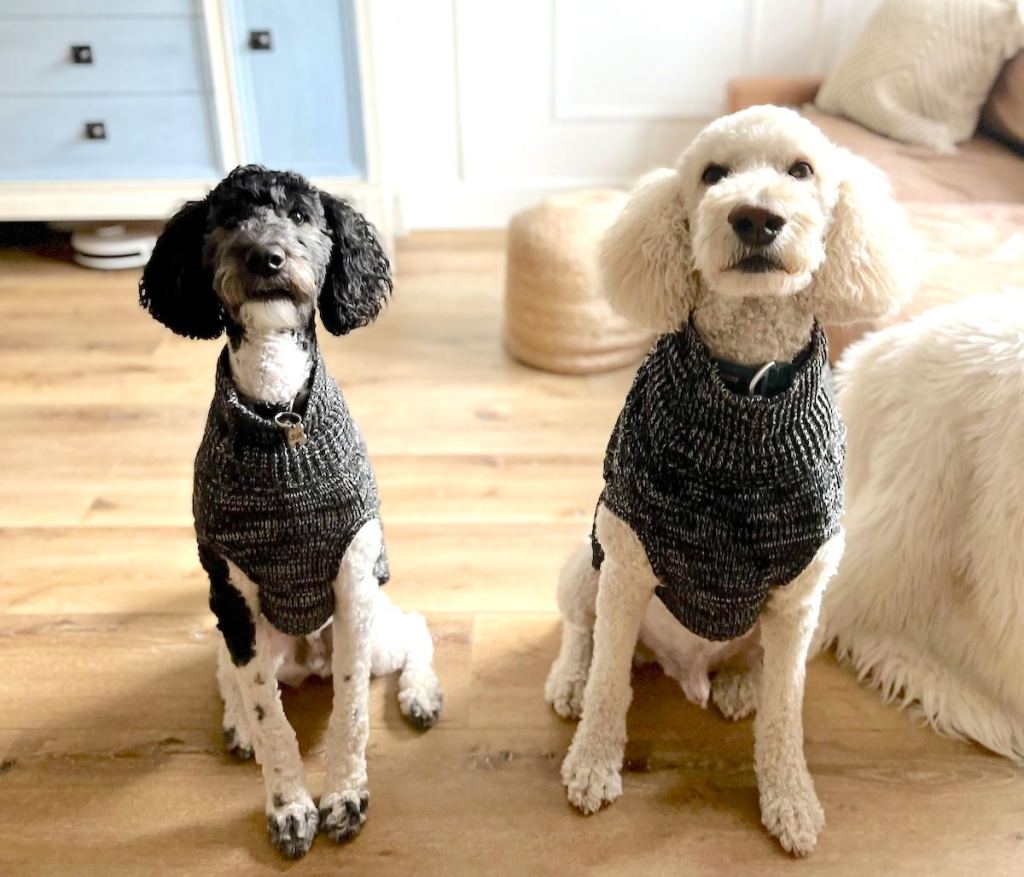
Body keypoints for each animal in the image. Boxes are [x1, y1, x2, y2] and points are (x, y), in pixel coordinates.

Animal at [139, 163, 440, 856]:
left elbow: (351, 708)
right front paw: (288, 806)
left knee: (415, 627)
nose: (265, 256)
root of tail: (306, 657)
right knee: (226, 672)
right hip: (256, 638)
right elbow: (266, 712)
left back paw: (419, 695)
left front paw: (346, 796)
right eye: (225, 219)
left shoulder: (354, 579)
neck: (279, 414)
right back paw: (236, 726)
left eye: (302, 216)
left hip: (377, 630)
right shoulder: (231, 594)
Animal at [548, 104, 917, 856]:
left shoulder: (801, 591)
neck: (744, 389)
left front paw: (791, 799)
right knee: (582, 631)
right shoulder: (626, 564)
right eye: (712, 175)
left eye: (801, 170)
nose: (754, 217)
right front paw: (593, 765)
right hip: (586, 560)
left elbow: (785, 713)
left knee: (762, 666)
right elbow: (607, 688)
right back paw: (570, 677)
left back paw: (742, 683)